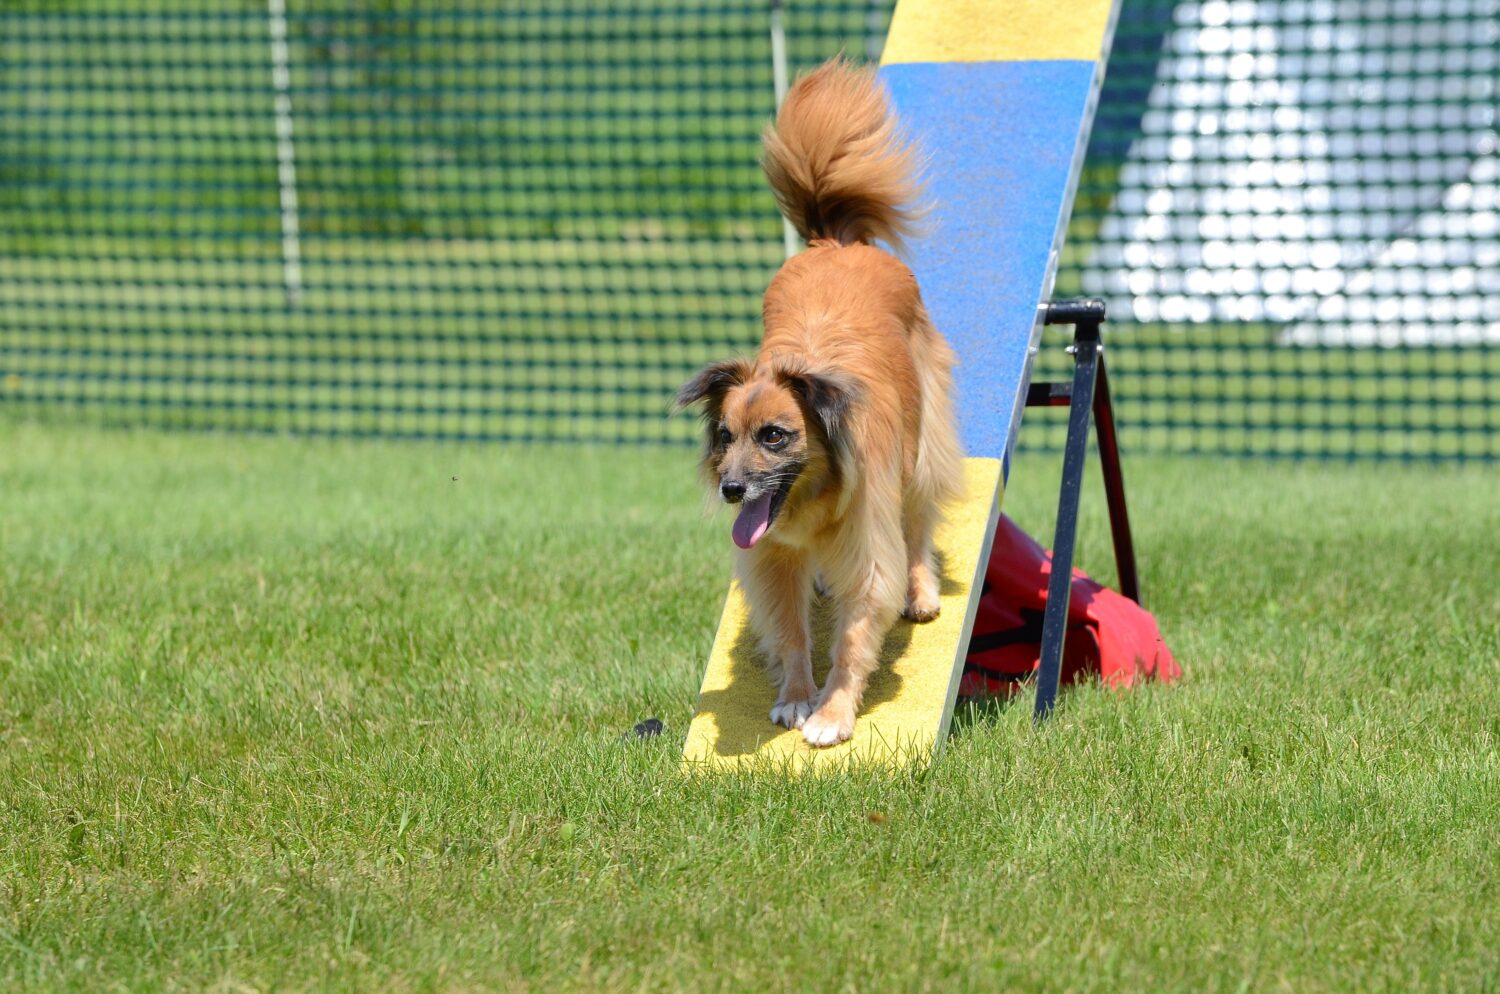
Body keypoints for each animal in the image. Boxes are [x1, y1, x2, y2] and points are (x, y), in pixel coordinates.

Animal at [678, 58, 960, 746]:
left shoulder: (867, 542)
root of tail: (835, 244)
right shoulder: (773, 554)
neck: (812, 498)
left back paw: (921, 592)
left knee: (918, 521)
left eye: (775, 435)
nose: (730, 490)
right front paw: (796, 697)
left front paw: (832, 714)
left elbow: (856, 636)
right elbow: (790, 628)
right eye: (725, 436)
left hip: (922, 443)